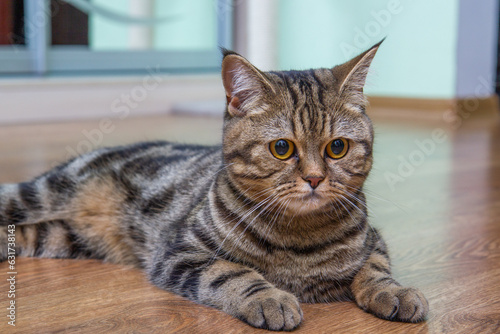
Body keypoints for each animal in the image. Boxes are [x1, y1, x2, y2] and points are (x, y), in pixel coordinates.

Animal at [0, 40, 430, 330]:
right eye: (282, 148)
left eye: (337, 147)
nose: (314, 178)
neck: (299, 238)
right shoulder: (181, 253)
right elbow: (233, 273)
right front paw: (270, 298)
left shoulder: (373, 238)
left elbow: (374, 268)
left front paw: (395, 291)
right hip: (41, 193)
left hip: (63, 237)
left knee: (24, 235)